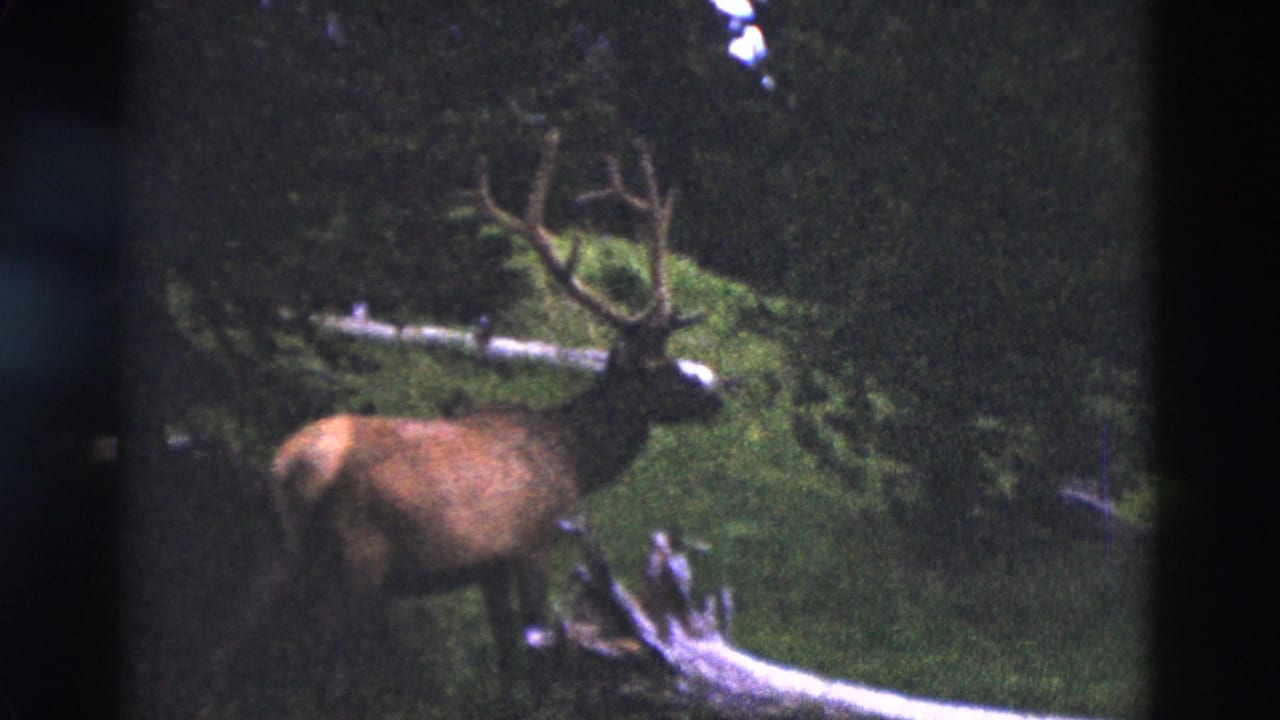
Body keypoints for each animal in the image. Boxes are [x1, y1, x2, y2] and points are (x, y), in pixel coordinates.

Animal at [200, 129, 723, 716]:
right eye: (659, 368)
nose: (716, 394)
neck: (571, 460)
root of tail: (298, 464)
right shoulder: (531, 542)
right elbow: (532, 643)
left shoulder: (487, 564)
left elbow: (504, 653)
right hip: (359, 554)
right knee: (330, 662)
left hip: (279, 540)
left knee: (232, 632)